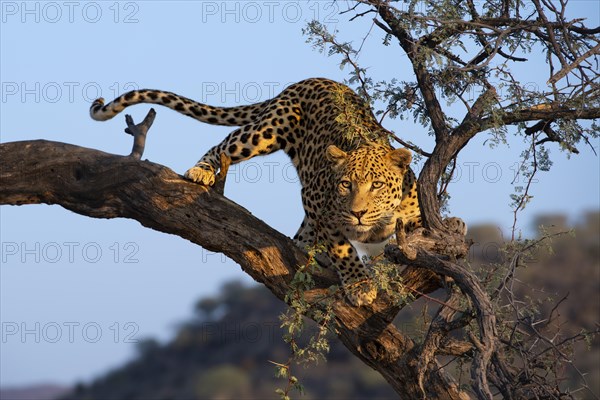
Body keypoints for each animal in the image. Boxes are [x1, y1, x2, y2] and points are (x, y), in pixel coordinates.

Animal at [89, 78, 462, 306]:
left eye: (377, 185)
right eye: (345, 184)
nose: (357, 212)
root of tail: (313, 80)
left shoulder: (408, 216)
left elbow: (424, 234)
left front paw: (451, 233)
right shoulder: (318, 202)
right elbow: (343, 248)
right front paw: (359, 285)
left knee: (300, 237)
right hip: (267, 130)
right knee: (225, 144)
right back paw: (201, 170)